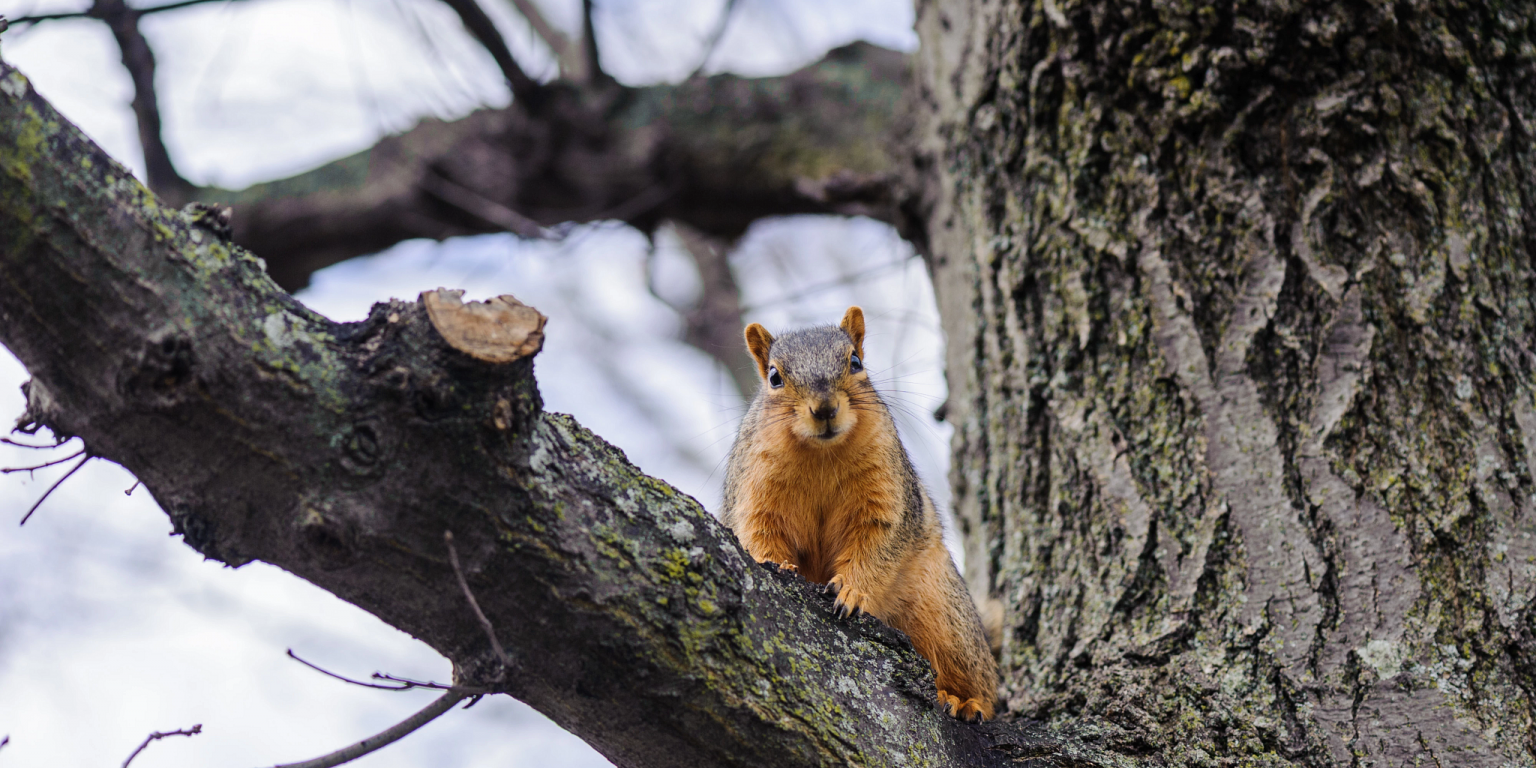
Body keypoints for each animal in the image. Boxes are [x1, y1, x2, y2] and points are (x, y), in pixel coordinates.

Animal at [715, 304, 995, 718]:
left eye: (856, 362)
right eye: (774, 377)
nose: (825, 408)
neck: (821, 455)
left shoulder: (886, 494)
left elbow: (879, 543)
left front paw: (851, 591)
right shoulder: (753, 488)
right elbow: (756, 532)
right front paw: (774, 563)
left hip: (944, 613)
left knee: (980, 678)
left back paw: (964, 701)